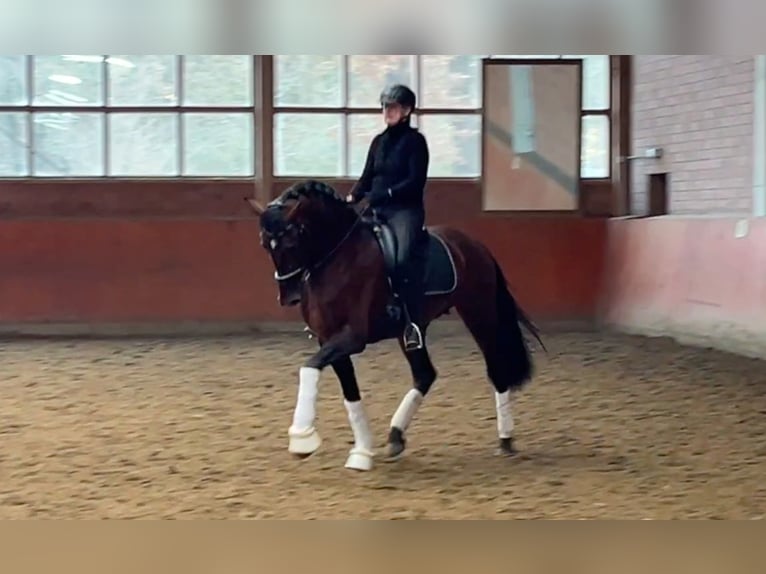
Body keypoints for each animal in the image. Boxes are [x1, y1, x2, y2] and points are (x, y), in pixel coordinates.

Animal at [249, 180, 544, 472]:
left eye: (291, 242)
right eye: (265, 245)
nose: (288, 296)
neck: (339, 258)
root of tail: (474, 245)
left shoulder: (352, 337)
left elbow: (309, 367)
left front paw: (302, 438)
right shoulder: (328, 338)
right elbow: (349, 391)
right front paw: (362, 451)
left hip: (478, 312)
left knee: (496, 368)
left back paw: (505, 439)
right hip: (412, 330)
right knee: (425, 375)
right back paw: (395, 436)